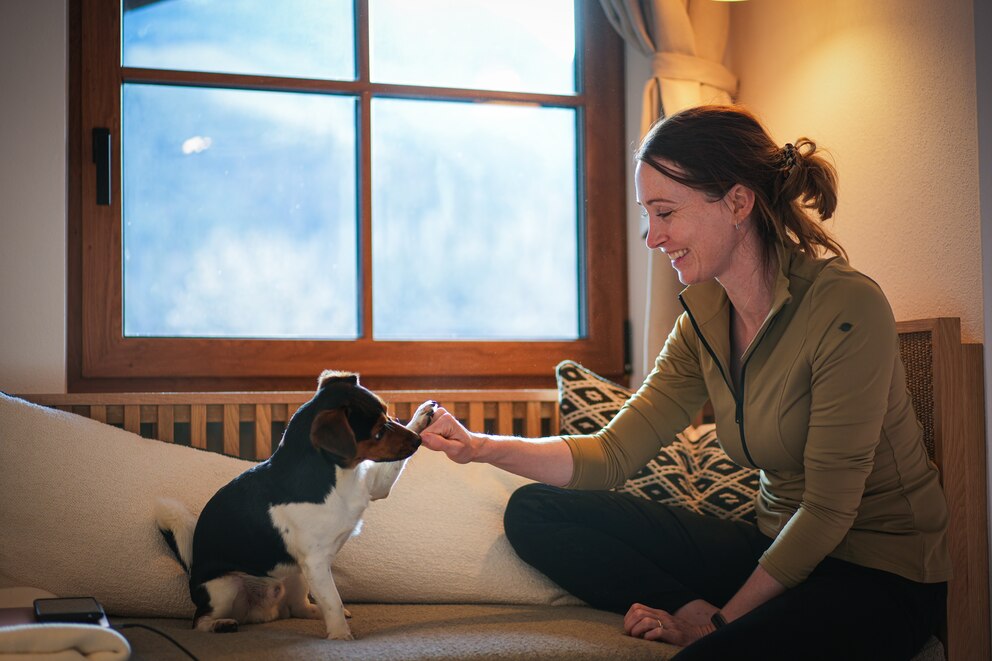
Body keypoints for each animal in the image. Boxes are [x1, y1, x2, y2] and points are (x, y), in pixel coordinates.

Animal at [155, 368, 434, 636]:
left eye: (389, 415)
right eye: (378, 433)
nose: (418, 441)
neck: (337, 476)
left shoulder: (375, 487)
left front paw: (421, 416)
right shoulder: (316, 562)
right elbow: (333, 601)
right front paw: (340, 636)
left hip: (296, 575)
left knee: (299, 607)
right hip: (226, 587)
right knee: (199, 621)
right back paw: (220, 625)